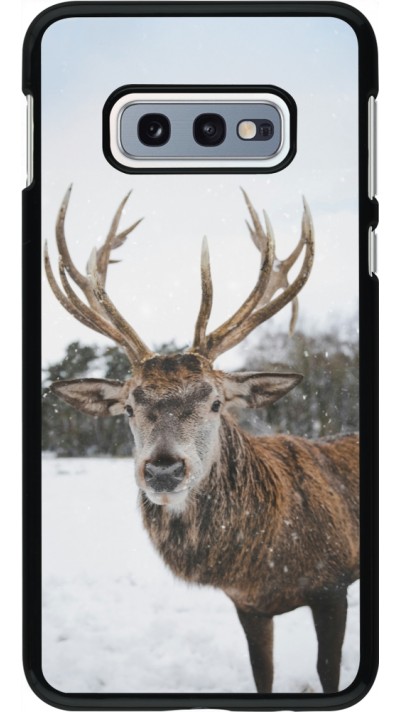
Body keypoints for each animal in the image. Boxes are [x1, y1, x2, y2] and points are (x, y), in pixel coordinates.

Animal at [45, 186, 359, 694]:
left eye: (215, 402)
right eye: (129, 407)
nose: (163, 469)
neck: (266, 563)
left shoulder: (333, 584)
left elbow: (328, 672)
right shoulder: (247, 605)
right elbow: (262, 675)